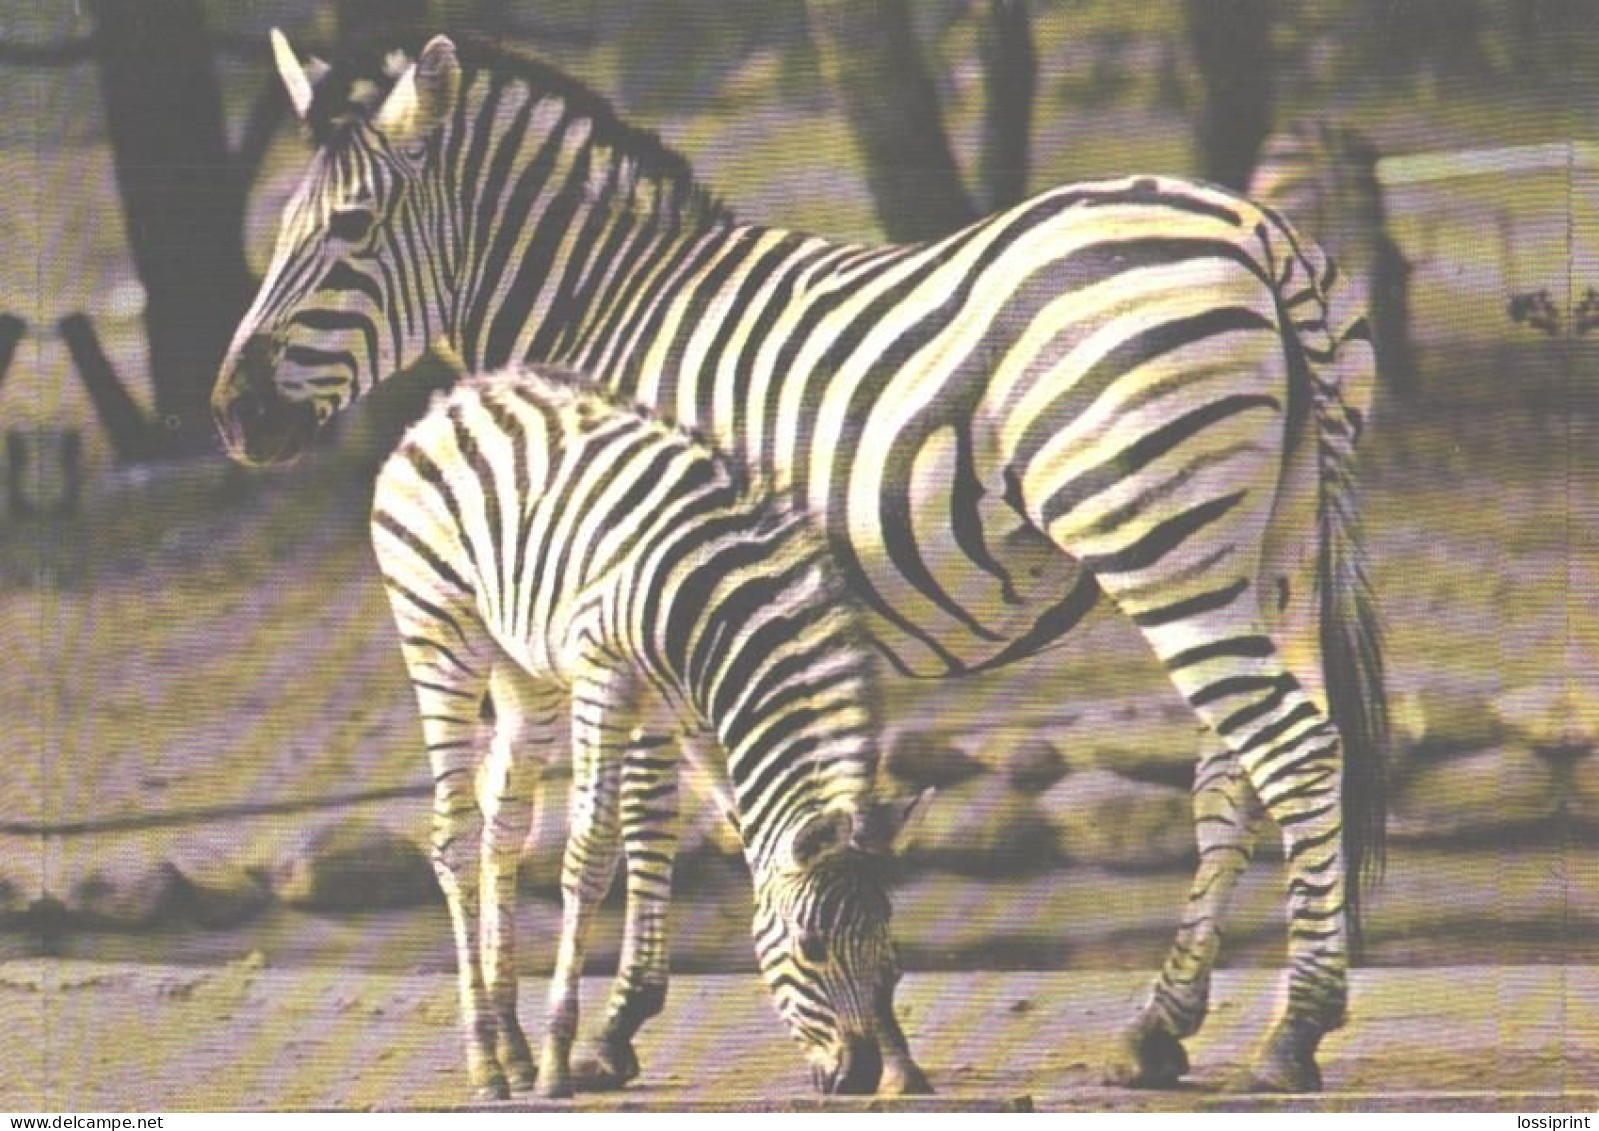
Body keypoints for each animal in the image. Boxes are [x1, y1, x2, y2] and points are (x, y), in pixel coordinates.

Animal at [369, 363, 933, 1094]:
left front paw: (903, 1065)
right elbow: (591, 853)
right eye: (809, 947)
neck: (716, 621)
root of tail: (457, 397)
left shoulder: (690, 711)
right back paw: (487, 1063)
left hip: (523, 671)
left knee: (504, 826)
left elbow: (736, 829)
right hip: (440, 633)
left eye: (889, 948)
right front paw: (560, 1056)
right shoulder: (606, 674)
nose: (856, 1076)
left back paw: (511, 1047)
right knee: (454, 836)